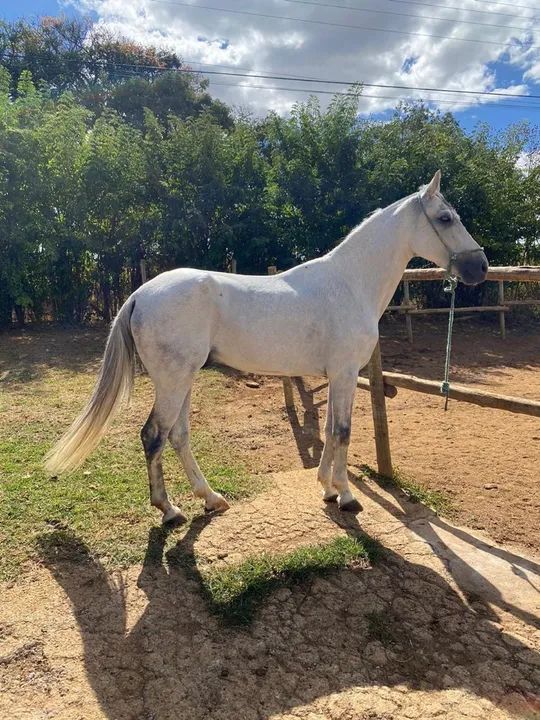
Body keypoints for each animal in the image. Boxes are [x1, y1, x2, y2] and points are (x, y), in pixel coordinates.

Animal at [45, 171, 488, 526]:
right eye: (446, 218)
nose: (480, 268)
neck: (349, 283)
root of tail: (140, 294)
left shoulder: (337, 376)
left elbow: (329, 428)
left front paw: (327, 488)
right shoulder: (346, 373)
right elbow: (342, 431)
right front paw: (346, 496)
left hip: (182, 379)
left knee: (178, 436)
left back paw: (212, 499)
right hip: (172, 381)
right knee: (154, 435)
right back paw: (169, 511)